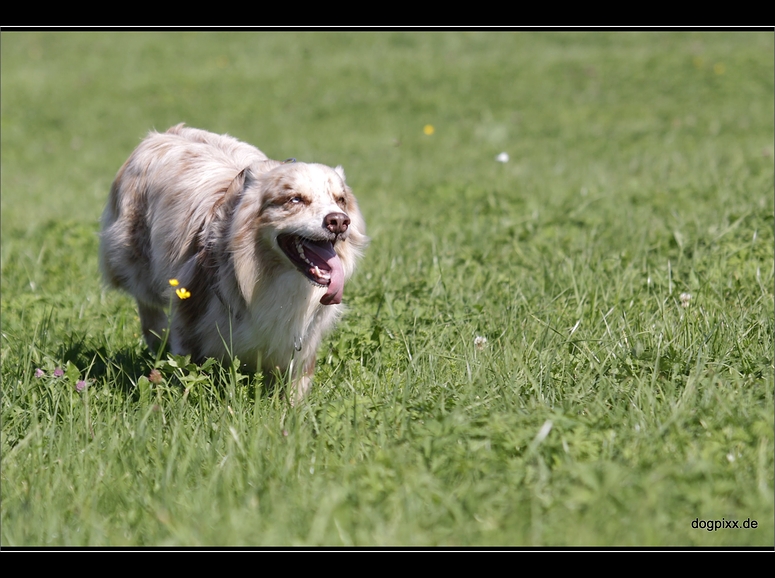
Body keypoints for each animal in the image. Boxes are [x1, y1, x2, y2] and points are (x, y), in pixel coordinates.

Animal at [99, 123, 366, 398]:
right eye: (295, 199)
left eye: (340, 199)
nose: (338, 221)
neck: (269, 272)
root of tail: (164, 133)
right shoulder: (189, 312)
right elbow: (187, 370)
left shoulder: (301, 340)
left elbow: (296, 388)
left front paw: (294, 408)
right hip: (134, 260)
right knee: (146, 303)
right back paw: (157, 340)